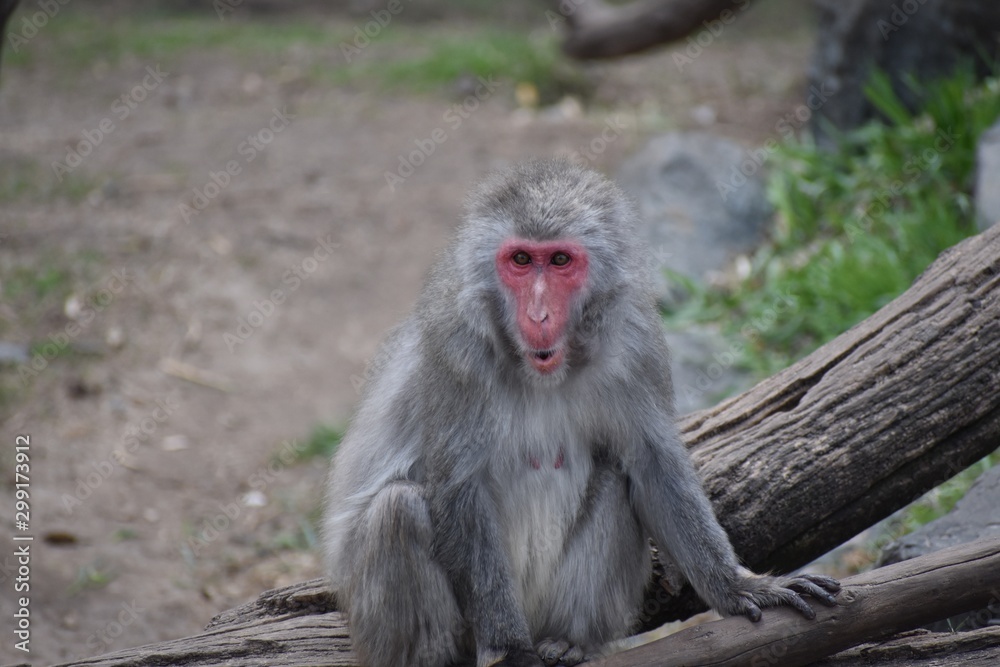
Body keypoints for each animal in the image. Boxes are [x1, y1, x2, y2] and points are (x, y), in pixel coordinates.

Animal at [324, 158, 840, 667]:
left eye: (559, 261)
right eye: (520, 260)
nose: (538, 315)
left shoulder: (635, 342)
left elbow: (652, 464)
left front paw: (739, 586)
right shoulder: (453, 349)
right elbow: (458, 487)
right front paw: (511, 652)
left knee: (615, 478)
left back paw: (570, 641)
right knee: (398, 510)